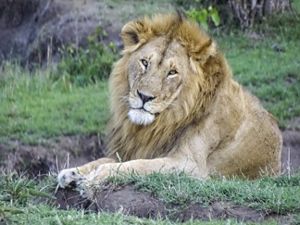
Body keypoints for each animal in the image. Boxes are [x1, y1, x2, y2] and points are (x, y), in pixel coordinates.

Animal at [57, 12, 282, 192]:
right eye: (144, 62)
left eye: (172, 72)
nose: (144, 96)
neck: (164, 121)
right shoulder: (139, 149)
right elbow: (108, 159)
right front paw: (73, 173)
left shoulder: (190, 166)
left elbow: (137, 165)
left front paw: (94, 177)